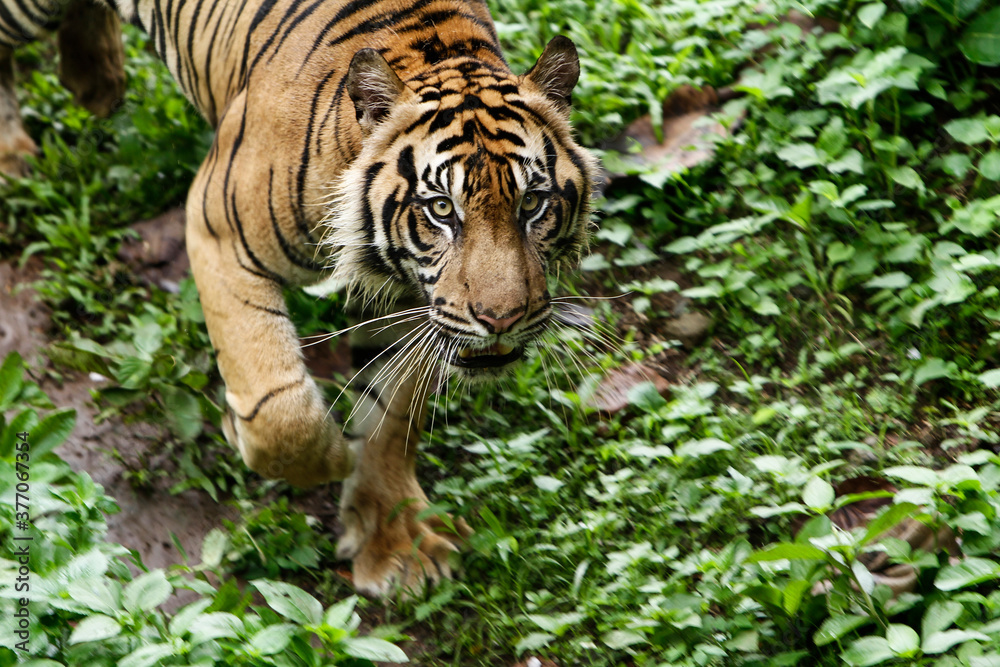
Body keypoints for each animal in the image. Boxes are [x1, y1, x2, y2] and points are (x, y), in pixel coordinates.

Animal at [0, 0, 598, 596]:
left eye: (533, 204)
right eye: (442, 209)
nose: (502, 319)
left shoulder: (409, 301)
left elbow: (392, 416)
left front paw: (395, 540)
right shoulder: (217, 228)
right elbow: (280, 410)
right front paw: (300, 449)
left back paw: (95, 82)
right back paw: (14, 160)